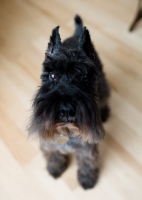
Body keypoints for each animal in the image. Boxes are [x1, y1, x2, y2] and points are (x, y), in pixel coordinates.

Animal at [27, 15, 110, 189]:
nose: (66, 110)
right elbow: (53, 155)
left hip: (103, 83)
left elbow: (87, 162)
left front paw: (87, 178)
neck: (67, 130)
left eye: (84, 77)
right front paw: (55, 167)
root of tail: (76, 34)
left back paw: (105, 112)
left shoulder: (87, 148)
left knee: (105, 97)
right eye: (52, 75)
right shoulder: (49, 144)